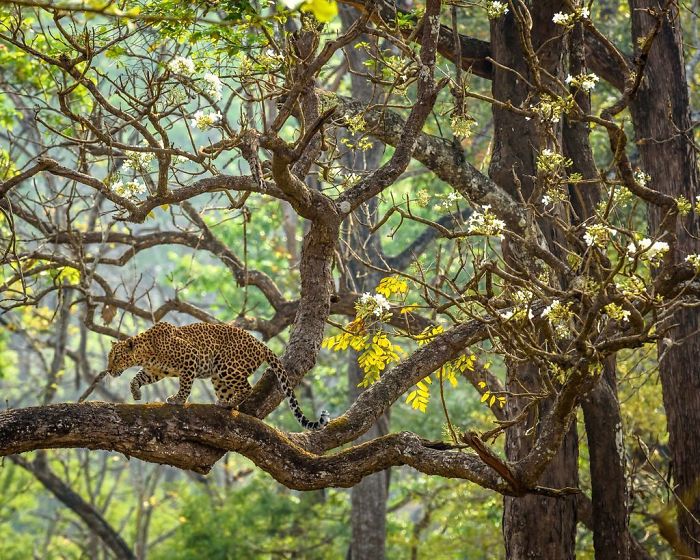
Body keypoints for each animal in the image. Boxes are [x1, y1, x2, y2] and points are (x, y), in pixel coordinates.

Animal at [106, 320, 330, 428]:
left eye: (115, 357)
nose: (108, 370)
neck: (146, 353)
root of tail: (260, 343)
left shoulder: (190, 358)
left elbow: (185, 385)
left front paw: (177, 400)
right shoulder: (156, 371)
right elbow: (137, 378)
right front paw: (136, 393)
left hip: (225, 365)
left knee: (246, 387)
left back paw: (228, 403)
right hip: (218, 376)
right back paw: (226, 403)